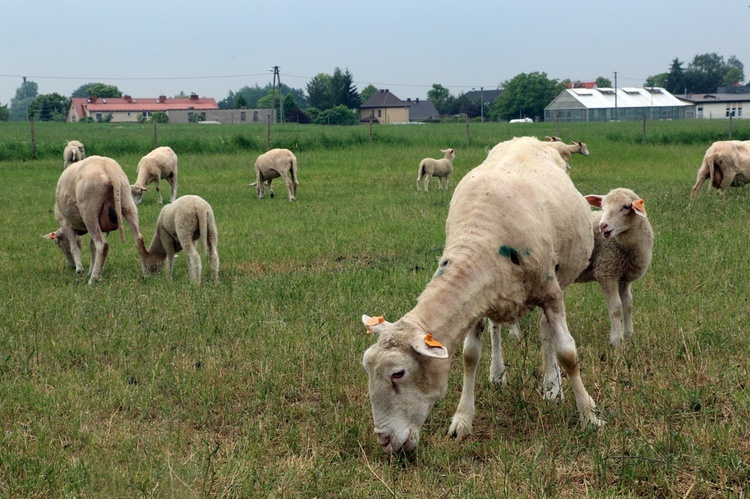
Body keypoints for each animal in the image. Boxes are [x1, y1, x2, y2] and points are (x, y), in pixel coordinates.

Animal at [44, 155, 151, 286]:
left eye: (57, 243)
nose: (71, 266)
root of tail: (109, 170)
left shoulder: (66, 223)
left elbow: (75, 247)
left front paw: (80, 270)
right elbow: (92, 247)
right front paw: (92, 269)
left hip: (89, 210)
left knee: (102, 244)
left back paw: (93, 279)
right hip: (127, 201)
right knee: (139, 239)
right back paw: (145, 274)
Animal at [362, 135, 604, 456]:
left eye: (398, 373)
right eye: (367, 369)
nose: (385, 442)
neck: (480, 237)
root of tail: (530, 139)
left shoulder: (551, 292)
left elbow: (567, 353)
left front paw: (589, 416)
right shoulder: (476, 301)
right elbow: (469, 356)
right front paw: (462, 420)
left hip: (558, 279)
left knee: (546, 332)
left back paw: (551, 386)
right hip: (498, 296)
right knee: (497, 328)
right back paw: (498, 373)